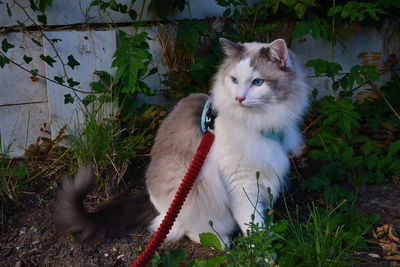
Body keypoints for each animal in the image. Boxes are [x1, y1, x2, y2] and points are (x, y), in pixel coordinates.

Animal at [54, 37, 308, 247]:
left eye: (257, 82)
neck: (259, 122)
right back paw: (222, 243)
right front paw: (263, 254)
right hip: (186, 184)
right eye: (234, 80)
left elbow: (261, 220)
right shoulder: (241, 184)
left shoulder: (265, 177)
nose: (239, 98)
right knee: (184, 229)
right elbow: (253, 225)